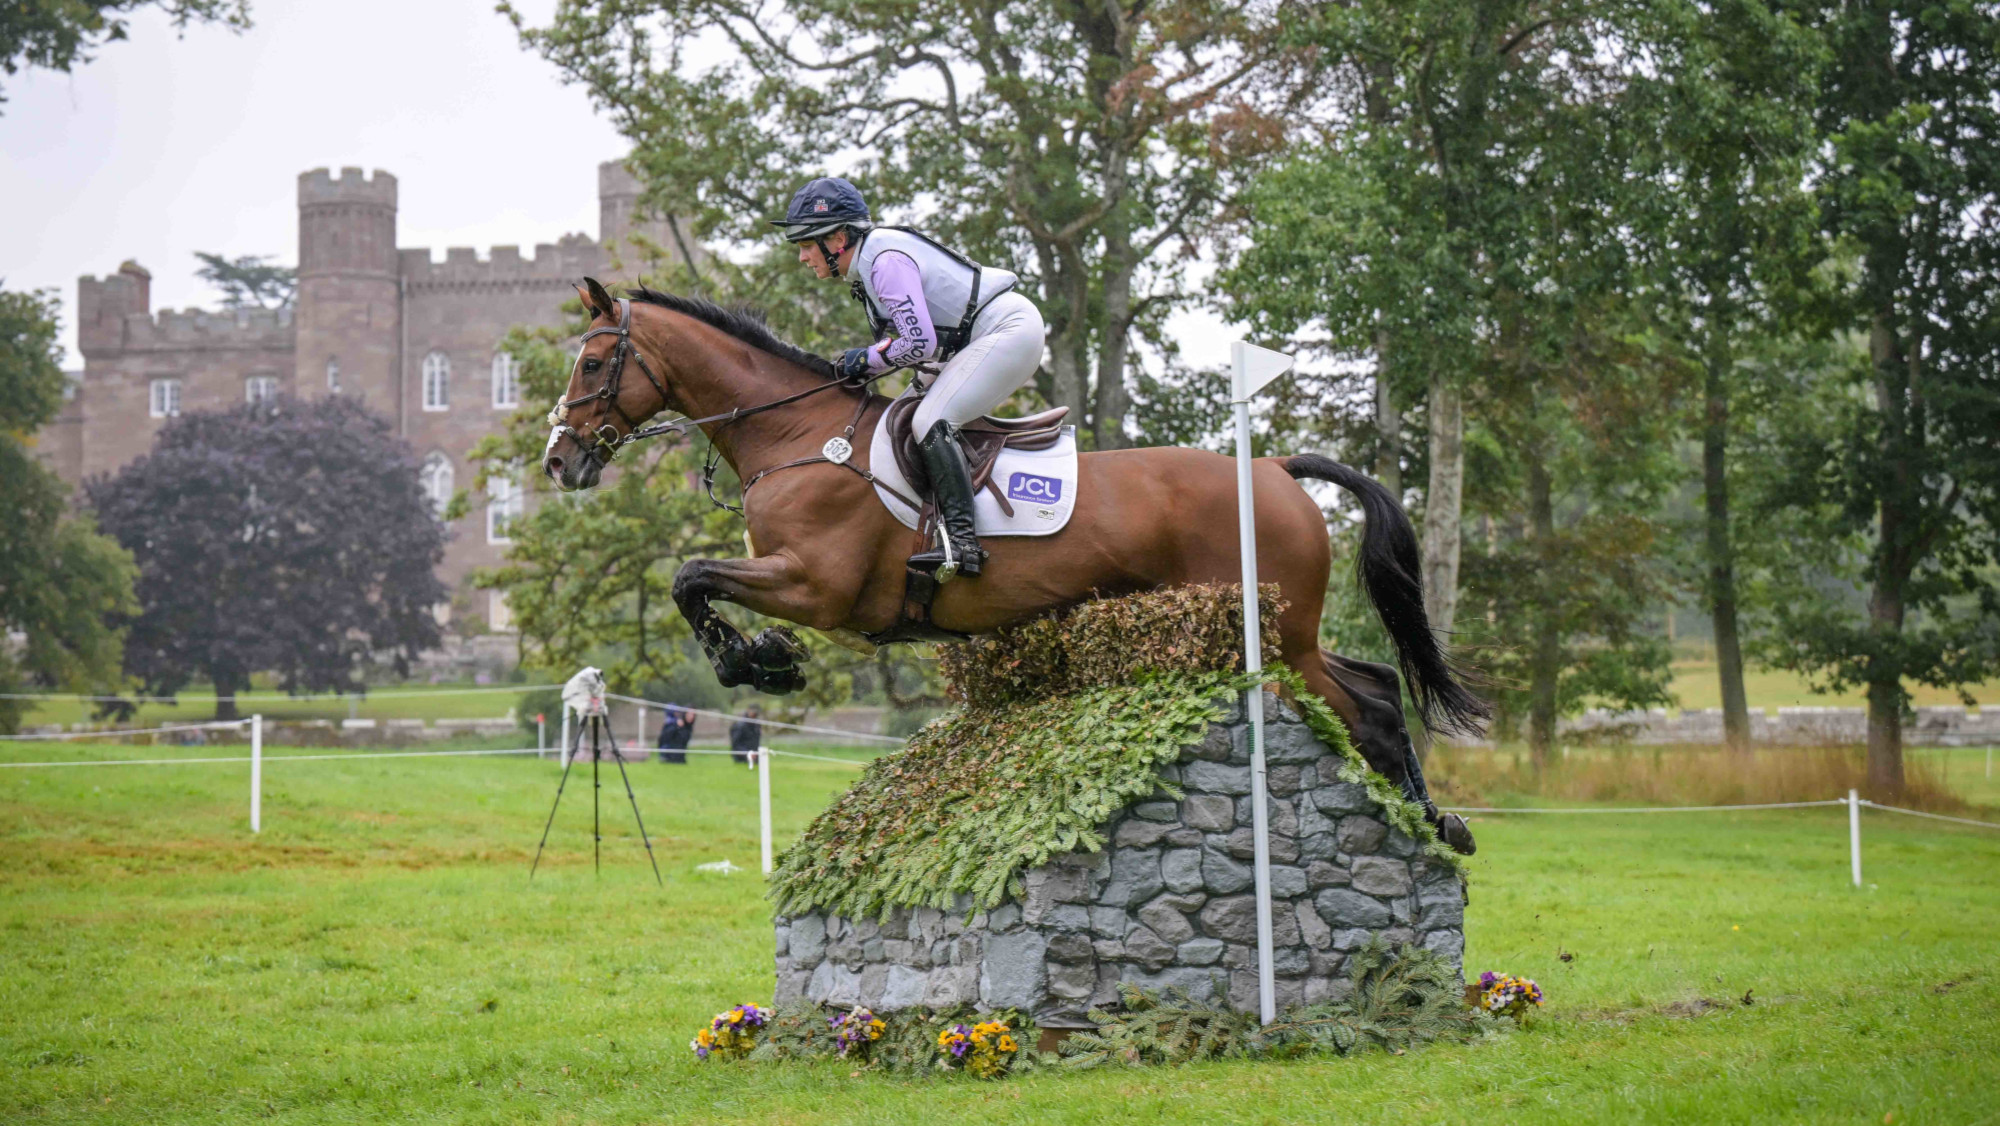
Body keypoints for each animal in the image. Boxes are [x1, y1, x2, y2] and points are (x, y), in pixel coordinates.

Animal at [542, 279, 1487, 850]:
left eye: (591, 362)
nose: (559, 462)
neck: (798, 435)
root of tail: (1276, 470)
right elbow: (693, 581)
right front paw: (760, 657)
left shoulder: (815, 585)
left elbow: (690, 578)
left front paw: (759, 661)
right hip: (1284, 635)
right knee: (1375, 684)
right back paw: (1433, 822)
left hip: (1273, 638)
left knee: (1374, 711)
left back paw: (1437, 829)